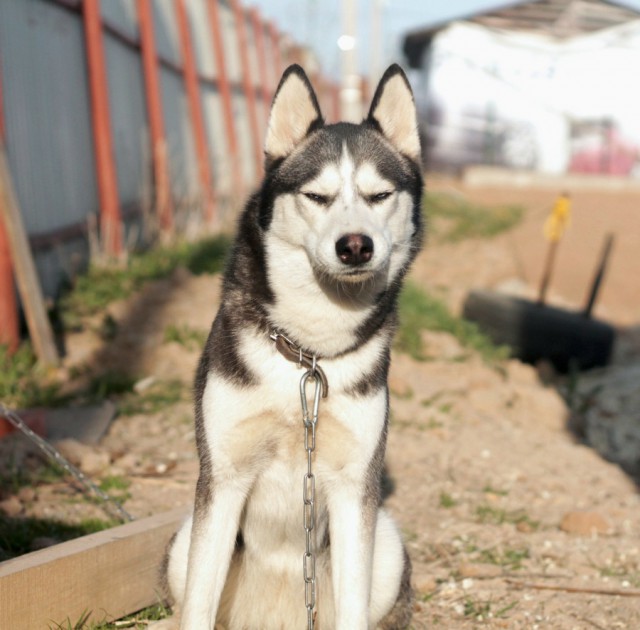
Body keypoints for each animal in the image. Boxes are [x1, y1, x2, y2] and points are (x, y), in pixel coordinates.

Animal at [158, 64, 422, 630]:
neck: (307, 355)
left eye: (379, 195)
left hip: (387, 545)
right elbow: (197, 606)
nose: (355, 245)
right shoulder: (223, 478)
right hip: (183, 540)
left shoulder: (354, 488)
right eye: (317, 197)